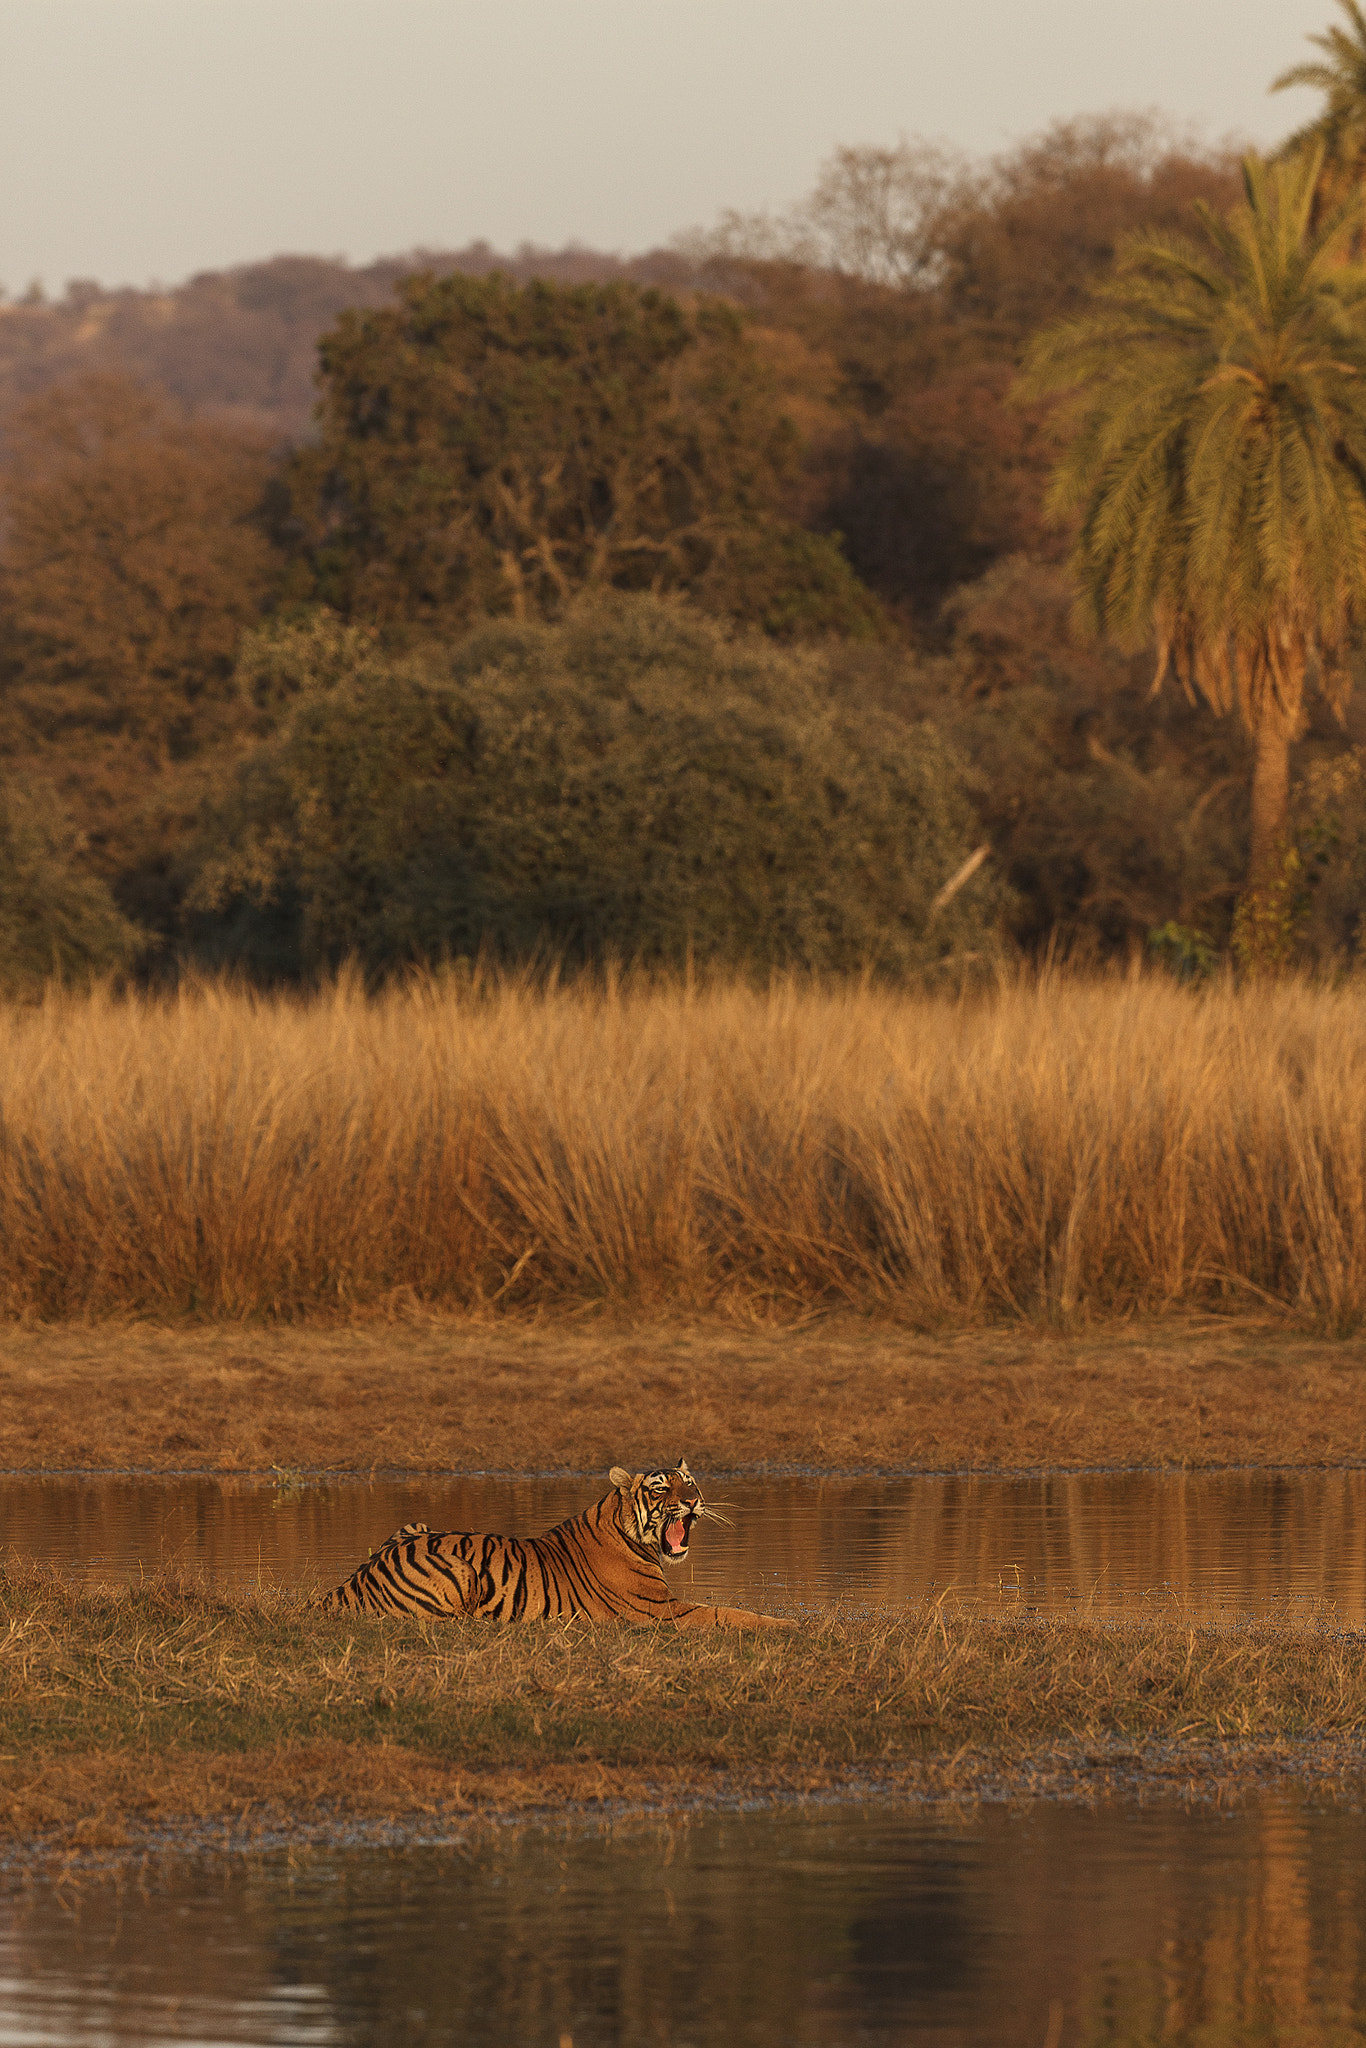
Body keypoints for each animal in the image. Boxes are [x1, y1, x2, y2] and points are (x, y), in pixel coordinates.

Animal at [313, 1458, 794, 1630]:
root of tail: (347, 1585)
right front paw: (789, 1624)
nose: (692, 1501)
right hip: (460, 1567)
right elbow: (727, 1612)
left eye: (689, 1482)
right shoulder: (661, 1611)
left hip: (415, 1524)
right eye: (661, 1489)